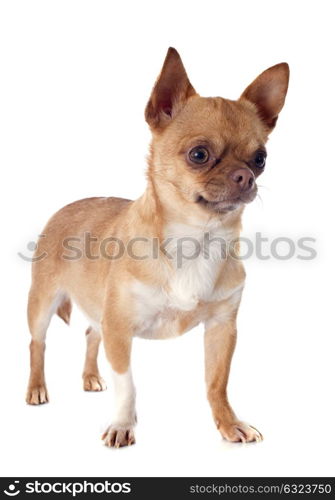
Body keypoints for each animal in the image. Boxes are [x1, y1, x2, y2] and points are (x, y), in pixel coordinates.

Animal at [25, 48, 288, 448]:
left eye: (261, 159)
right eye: (199, 154)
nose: (245, 176)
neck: (195, 240)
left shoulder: (221, 328)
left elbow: (217, 383)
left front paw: (229, 423)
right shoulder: (119, 328)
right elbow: (127, 384)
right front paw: (122, 424)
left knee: (90, 334)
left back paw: (90, 377)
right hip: (42, 303)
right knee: (37, 344)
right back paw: (37, 388)